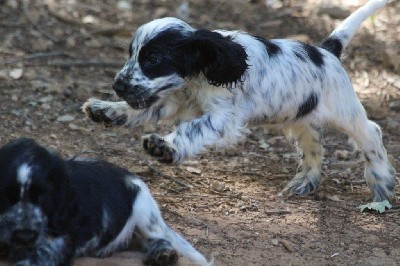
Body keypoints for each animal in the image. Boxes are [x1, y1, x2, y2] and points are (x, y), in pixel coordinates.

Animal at [0, 139, 211, 266]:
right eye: (5, 197)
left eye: (44, 198)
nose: (24, 236)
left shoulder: (54, 246)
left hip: (145, 212)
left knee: (159, 237)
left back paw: (163, 255)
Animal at [83, 0, 396, 202]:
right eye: (131, 53)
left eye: (152, 60)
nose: (117, 85)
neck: (202, 73)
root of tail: (327, 52)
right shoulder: (175, 99)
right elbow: (144, 108)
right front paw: (106, 110)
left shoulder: (223, 117)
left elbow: (192, 130)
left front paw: (165, 147)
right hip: (299, 116)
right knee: (313, 144)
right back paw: (304, 182)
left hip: (344, 111)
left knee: (370, 133)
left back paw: (382, 183)